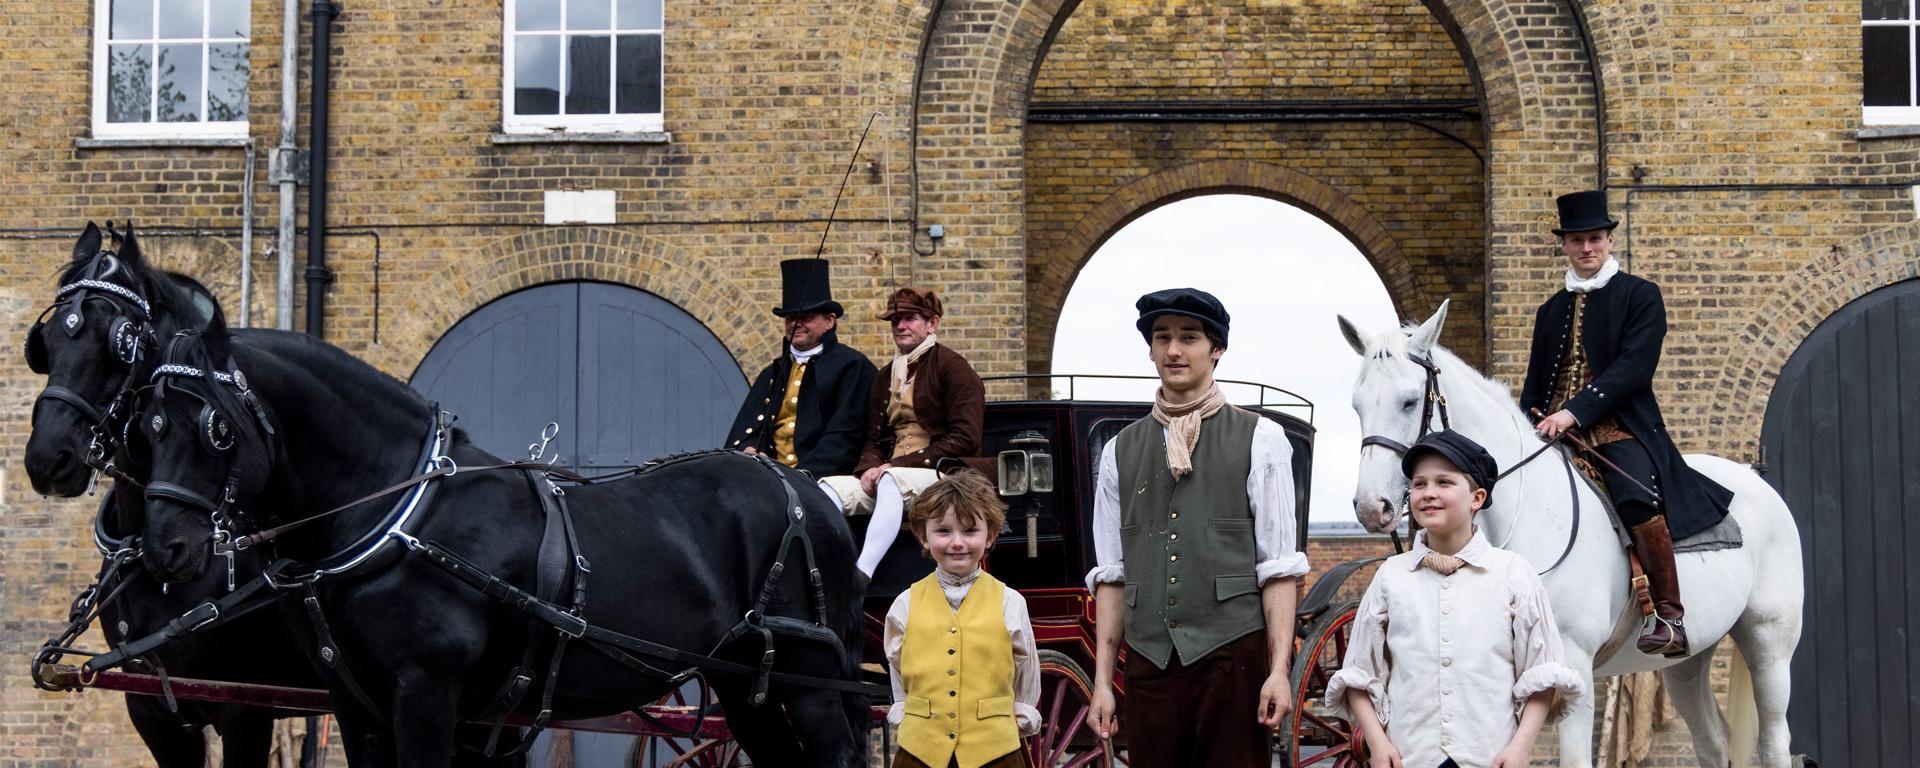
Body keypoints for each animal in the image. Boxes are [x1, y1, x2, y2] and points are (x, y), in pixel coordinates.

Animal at [137, 314, 879, 764]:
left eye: (217, 430)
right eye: (148, 424)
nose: (164, 549)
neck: (400, 518)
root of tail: (808, 491)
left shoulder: (427, 694)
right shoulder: (356, 706)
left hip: (808, 676)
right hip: (743, 680)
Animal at [1336, 301, 1797, 768]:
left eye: (1410, 401)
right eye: (1355, 405)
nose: (1372, 507)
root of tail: (1754, 480)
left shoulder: (1570, 665)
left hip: (1770, 643)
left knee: (1773, 739)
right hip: (1689, 659)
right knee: (1712, 739)